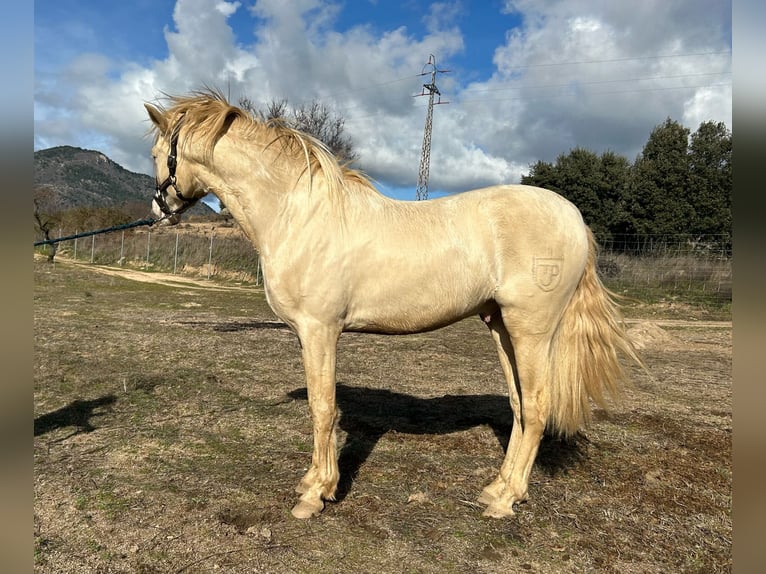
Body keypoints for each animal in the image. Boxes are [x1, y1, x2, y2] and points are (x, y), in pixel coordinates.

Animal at [142, 89, 640, 520]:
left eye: (155, 154)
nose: (157, 212)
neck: (298, 215)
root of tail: (573, 216)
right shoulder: (308, 334)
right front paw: (314, 483)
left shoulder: (320, 330)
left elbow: (323, 409)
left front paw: (315, 495)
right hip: (501, 327)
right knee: (519, 407)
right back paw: (497, 488)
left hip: (531, 329)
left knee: (536, 407)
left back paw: (504, 502)